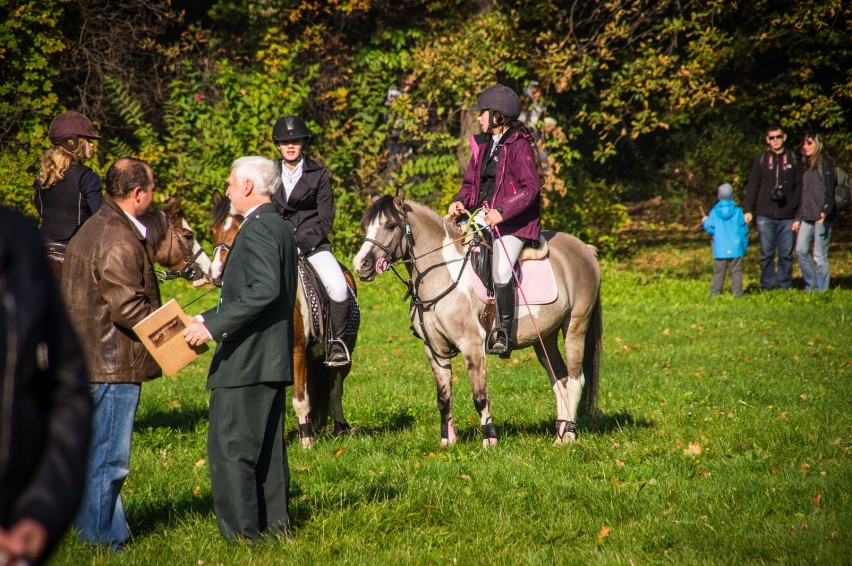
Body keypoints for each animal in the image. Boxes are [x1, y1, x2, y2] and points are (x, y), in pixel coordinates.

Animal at [350, 190, 604, 448]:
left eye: (391, 225)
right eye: (367, 226)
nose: (360, 265)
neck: (443, 273)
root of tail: (584, 249)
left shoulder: (472, 345)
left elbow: (480, 396)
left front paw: (489, 441)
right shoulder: (434, 349)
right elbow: (443, 398)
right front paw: (447, 442)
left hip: (575, 327)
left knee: (575, 380)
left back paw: (570, 436)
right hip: (545, 337)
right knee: (560, 379)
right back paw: (559, 436)